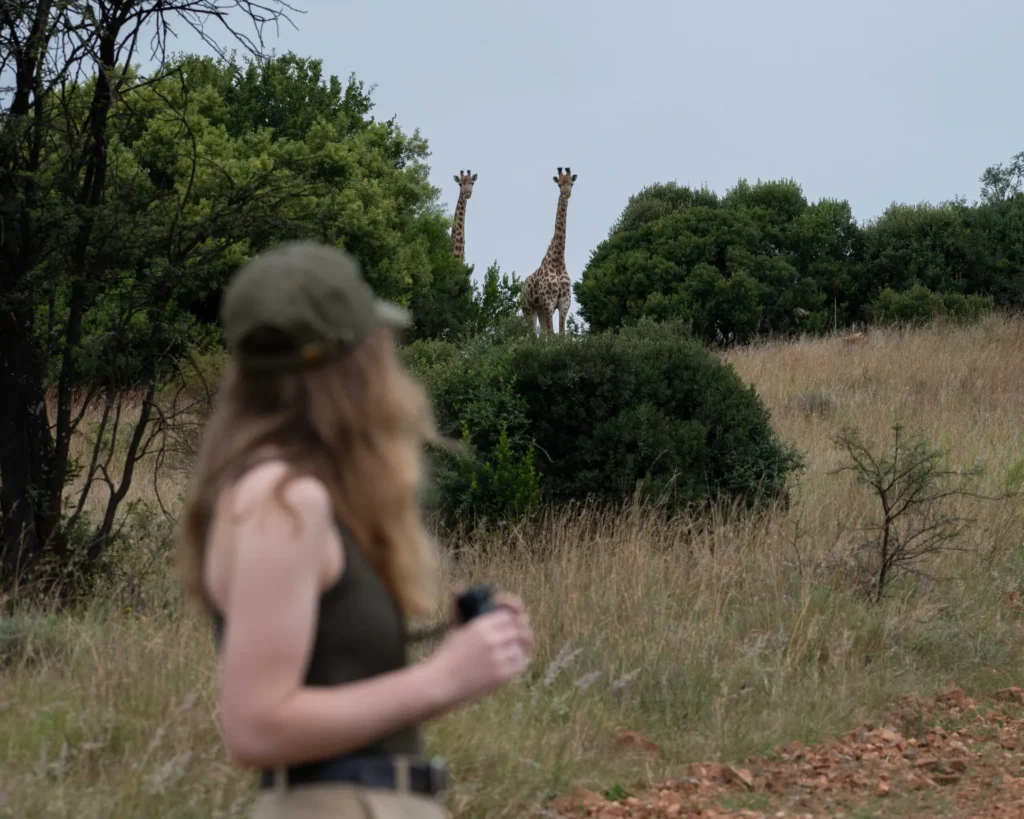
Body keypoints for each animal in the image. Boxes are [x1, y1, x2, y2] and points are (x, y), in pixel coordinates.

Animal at [522, 167, 577, 335]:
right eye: (559, 184)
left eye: (571, 183)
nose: (567, 194)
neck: (558, 260)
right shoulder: (549, 302)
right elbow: (553, 335)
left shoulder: (564, 303)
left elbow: (561, 335)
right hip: (529, 309)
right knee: (532, 333)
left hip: (540, 310)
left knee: (542, 334)